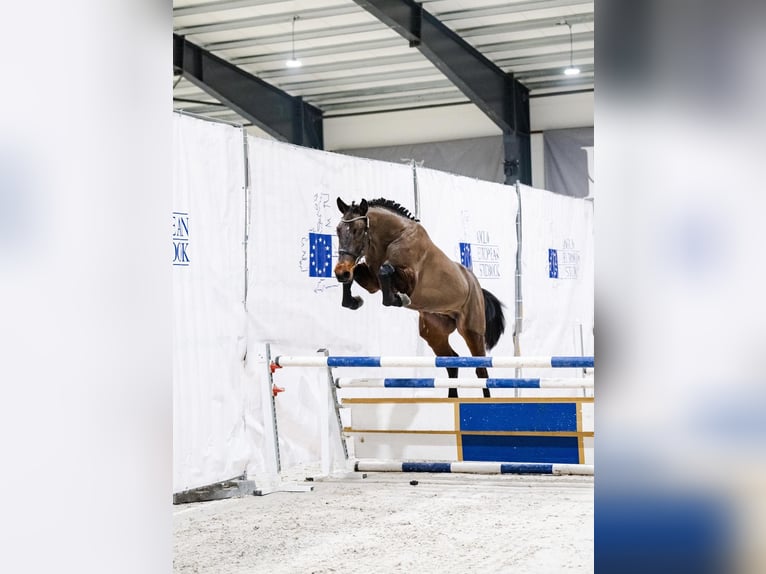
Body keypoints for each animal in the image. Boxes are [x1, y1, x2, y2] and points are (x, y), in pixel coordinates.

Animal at [333, 197, 506, 398]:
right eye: (338, 230)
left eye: (358, 231)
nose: (340, 272)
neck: (392, 238)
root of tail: (475, 283)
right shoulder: (372, 282)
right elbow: (359, 272)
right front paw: (353, 301)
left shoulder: (409, 280)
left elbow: (386, 270)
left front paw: (399, 299)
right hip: (434, 332)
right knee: (452, 361)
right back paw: (451, 399)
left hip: (472, 331)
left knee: (481, 370)